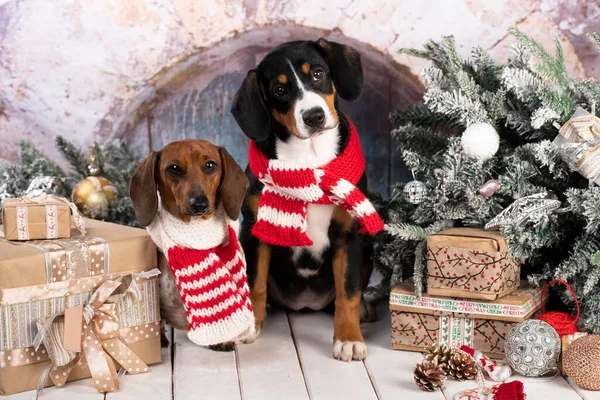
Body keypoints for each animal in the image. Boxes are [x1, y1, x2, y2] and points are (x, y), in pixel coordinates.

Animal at [232, 39, 382, 360]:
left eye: (317, 73)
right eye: (279, 89)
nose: (314, 116)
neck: (309, 158)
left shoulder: (349, 235)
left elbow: (348, 293)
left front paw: (349, 338)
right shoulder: (254, 230)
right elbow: (255, 282)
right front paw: (251, 324)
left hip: (368, 248)